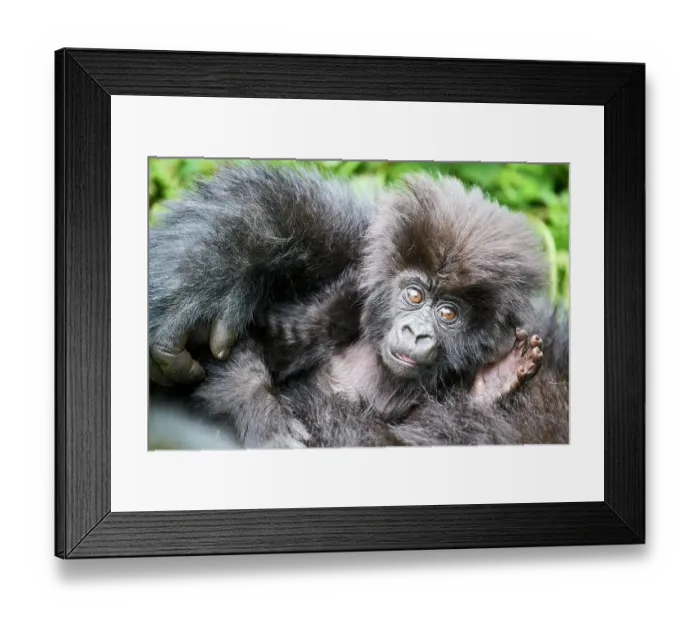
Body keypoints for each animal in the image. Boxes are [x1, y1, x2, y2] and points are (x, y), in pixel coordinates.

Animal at [148, 162, 569, 449]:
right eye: (414, 295)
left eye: (448, 313)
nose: (415, 332)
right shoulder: (338, 305)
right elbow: (254, 343)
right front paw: (261, 413)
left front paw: (493, 381)